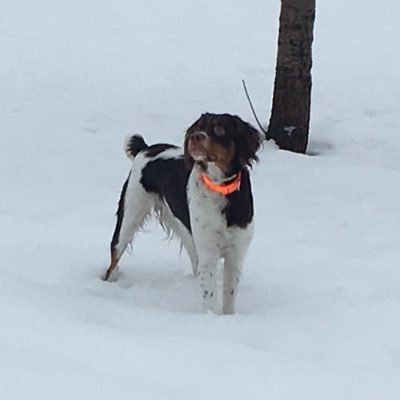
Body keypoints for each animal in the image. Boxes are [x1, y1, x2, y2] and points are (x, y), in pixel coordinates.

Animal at [102, 113, 262, 316]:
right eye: (197, 128)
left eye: (219, 129)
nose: (195, 137)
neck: (220, 188)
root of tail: (146, 148)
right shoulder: (208, 252)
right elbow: (210, 296)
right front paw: (212, 317)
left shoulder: (236, 252)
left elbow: (229, 297)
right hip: (129, 215)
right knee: (114, 256)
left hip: (183, 228)